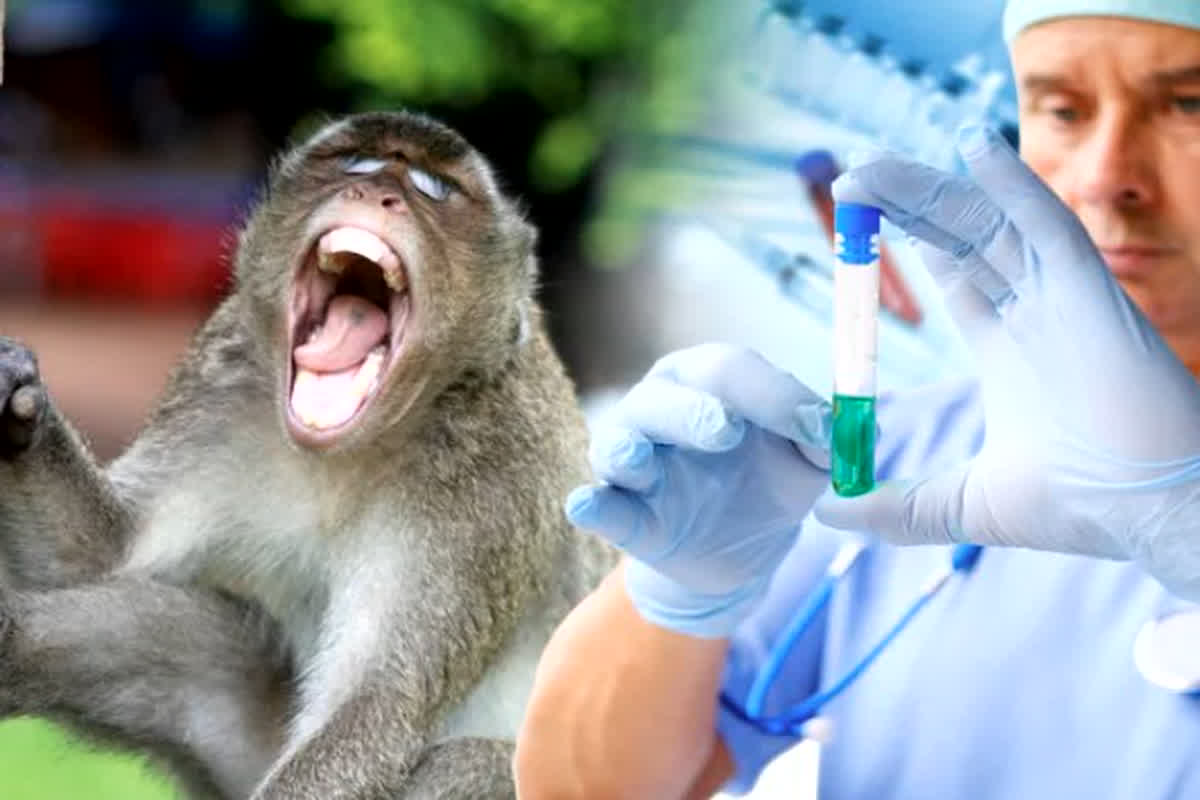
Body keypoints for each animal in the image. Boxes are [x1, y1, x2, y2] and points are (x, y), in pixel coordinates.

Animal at [0, 110, 616, 799]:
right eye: (356, 164)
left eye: (433, 188)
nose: (379, 194)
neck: (355, 447)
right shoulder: (220, 376)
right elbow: (100, 555)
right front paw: (16, 396)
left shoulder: (493, 479)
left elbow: (376, 710)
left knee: (466, 768)